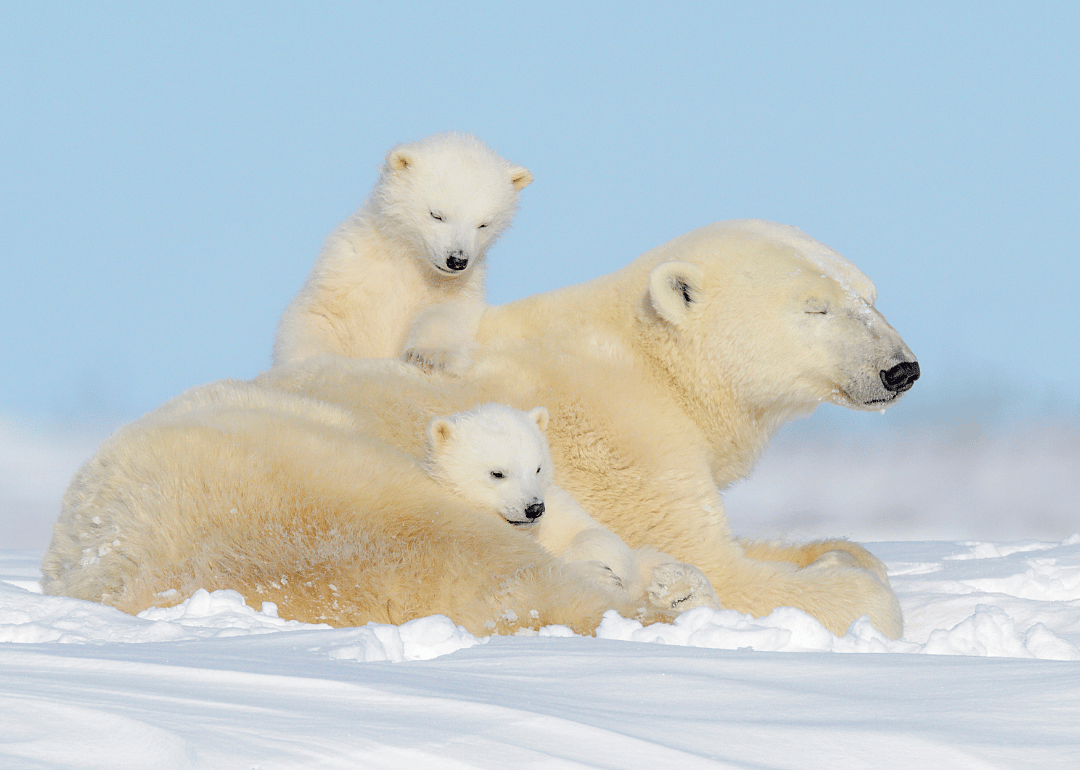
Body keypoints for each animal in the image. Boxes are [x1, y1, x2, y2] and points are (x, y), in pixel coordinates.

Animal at [272, 132, 532, 374]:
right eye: (436, 215)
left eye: (484, 224)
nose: (457, 260)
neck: (410, 257)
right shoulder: (349, 266)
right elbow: (320, 314)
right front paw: (312, 363)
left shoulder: (460, 284)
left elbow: (448, 312)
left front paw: (428, 356)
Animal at [424, 402, 721, 610]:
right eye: (497, 473)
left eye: (537, 468)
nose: (534, 508)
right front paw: (598, 576)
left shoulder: (557, 509)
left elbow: (599, 535)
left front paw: (613, 574)